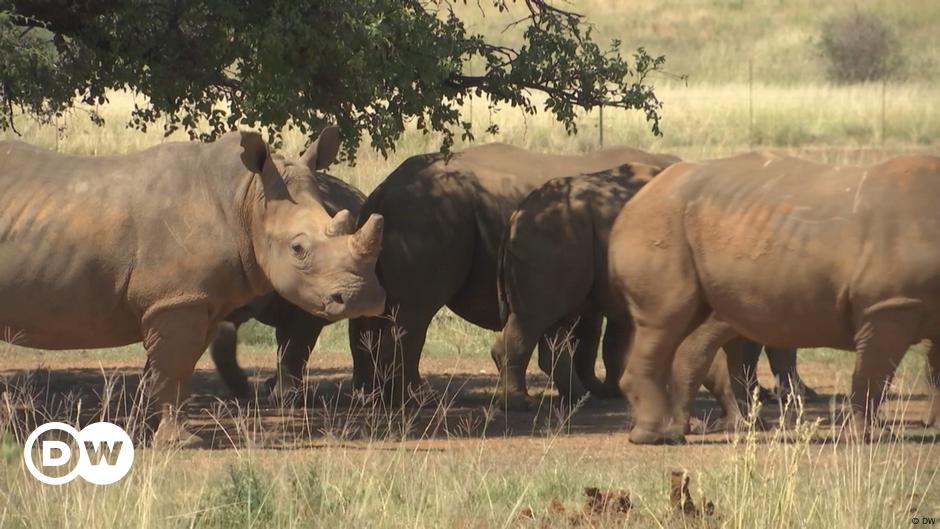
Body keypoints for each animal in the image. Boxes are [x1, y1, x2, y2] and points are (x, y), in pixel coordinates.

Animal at [348, 141, 680, 400]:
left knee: (375, 310)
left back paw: (371, 396)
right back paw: (418, 399)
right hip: (427, 213)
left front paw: (597, 390)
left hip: (394, 216)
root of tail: (383, 190)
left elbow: (589, 335)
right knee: (417, 310)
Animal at [604, 151, 940, 444]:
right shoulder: (889, 305)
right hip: (659, 223)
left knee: (684, 328)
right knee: (665, 323)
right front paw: (871, 437)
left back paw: (682, 431)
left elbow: (929, 370)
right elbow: (875, 372)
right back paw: (660, 438)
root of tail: (635, 199)